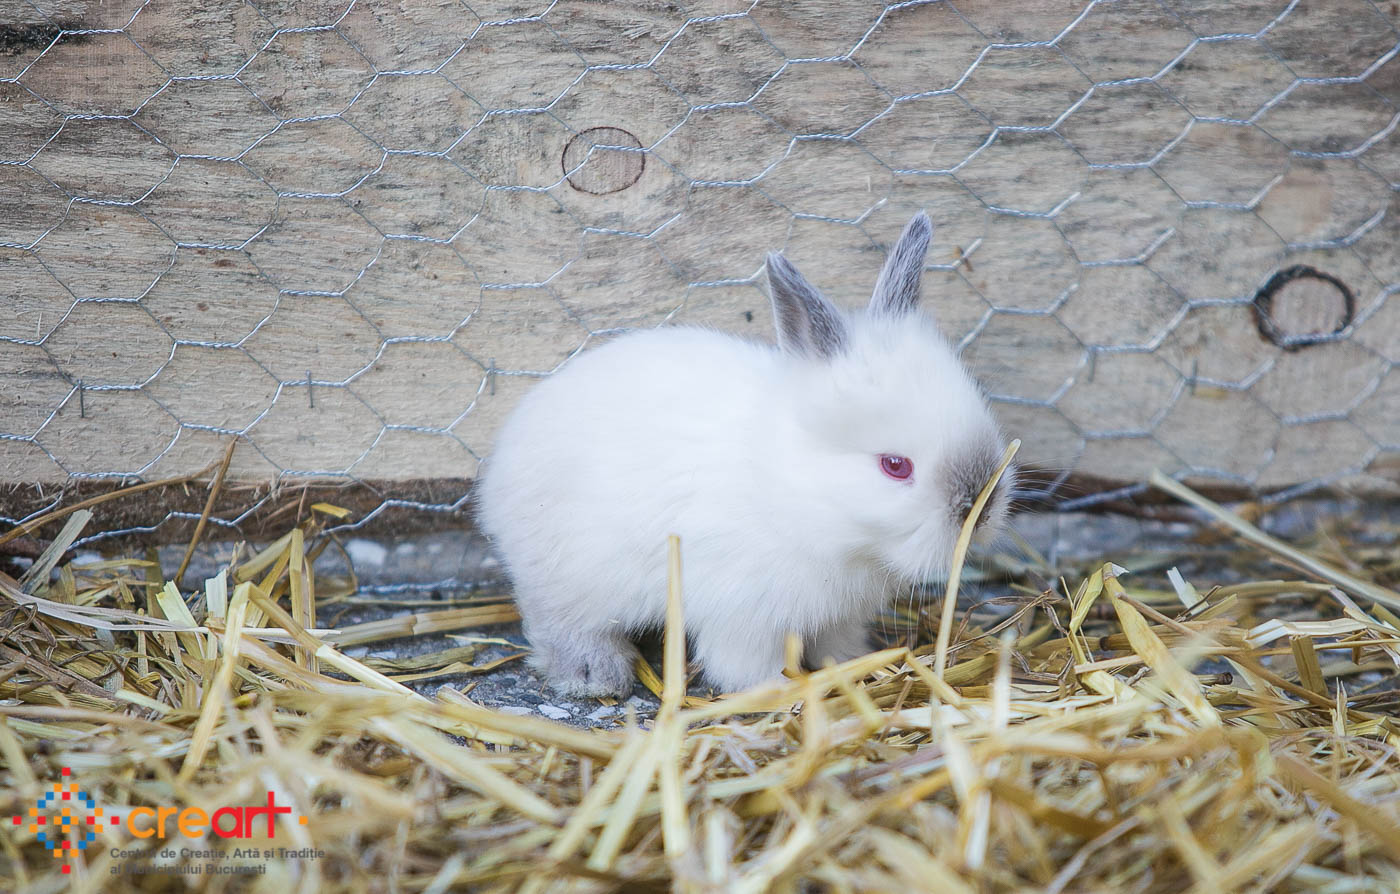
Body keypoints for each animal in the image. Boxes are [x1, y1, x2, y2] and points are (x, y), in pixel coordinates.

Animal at [474, 211, 1016, 696]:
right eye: (895, 466)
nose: (980, 510)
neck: (790, 487)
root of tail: (499, 470)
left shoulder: (837, 616)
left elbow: (837, 643)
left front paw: (853, 663)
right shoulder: (744, 614)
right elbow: (745, 665)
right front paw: (775, 690)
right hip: (571, 575)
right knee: (556, 621)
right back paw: (594, 675)